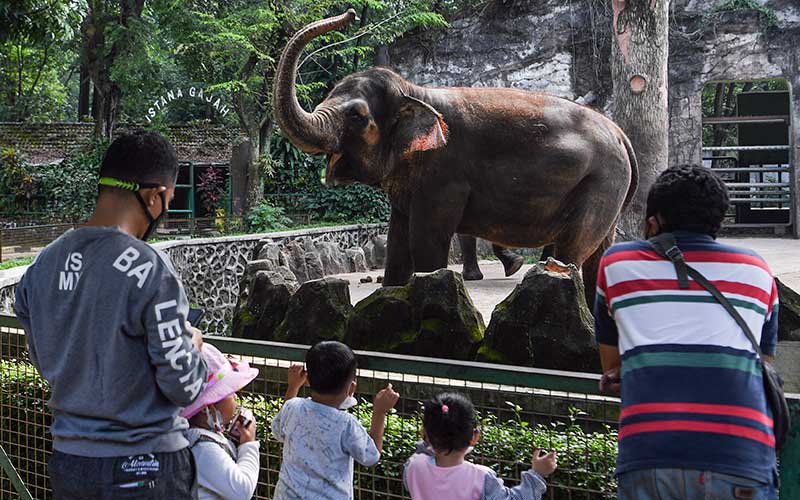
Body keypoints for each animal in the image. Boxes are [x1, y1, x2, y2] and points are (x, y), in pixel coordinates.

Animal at [274, 10, 636, 304]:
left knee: (574, 249)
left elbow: (426, 241)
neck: (414, 91)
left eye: (356, 116)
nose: (349, 13)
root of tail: (621, 134)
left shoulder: (444, 173)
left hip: (601, 184)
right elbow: (397, 242)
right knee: (598, 254)